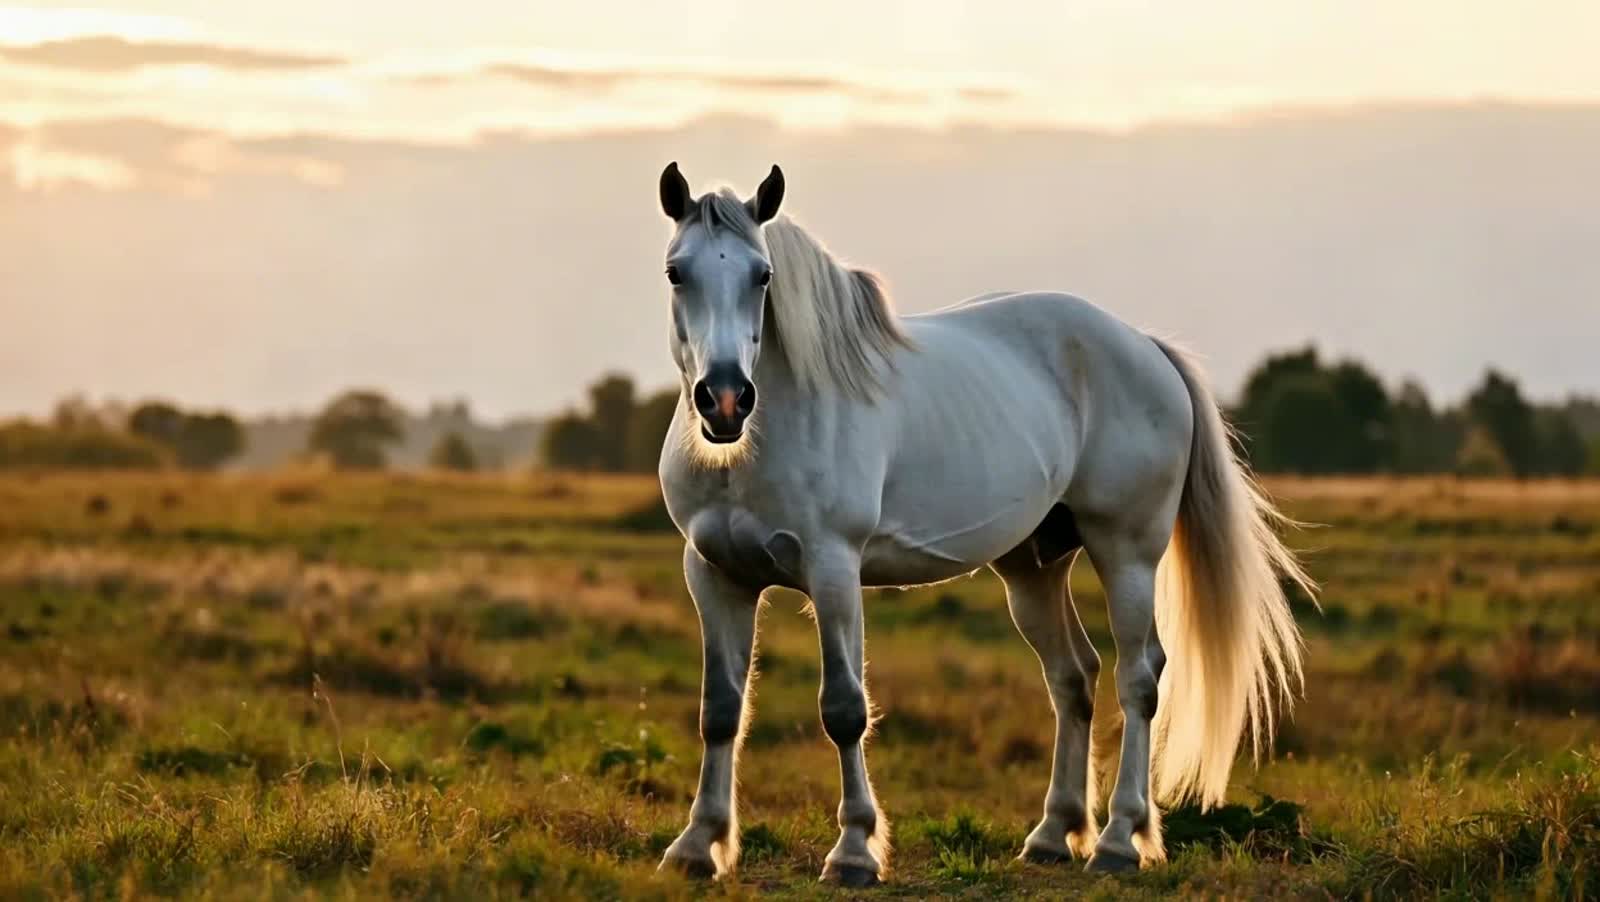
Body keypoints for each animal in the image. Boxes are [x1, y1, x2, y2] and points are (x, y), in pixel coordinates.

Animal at [650, 162, 1313, 886]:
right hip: (1034, 569)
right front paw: (697, 845)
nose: (724, 400)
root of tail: (1146, 346)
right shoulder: (715, 576)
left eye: (762, 275)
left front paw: (854, 851)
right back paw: (1055, 834)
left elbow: (845, 709)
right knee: (1074, 676)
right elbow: (721, 710)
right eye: (676, 272)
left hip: (1127, 554)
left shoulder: (832, 570)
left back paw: (1117, 840)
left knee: (1139, 677)